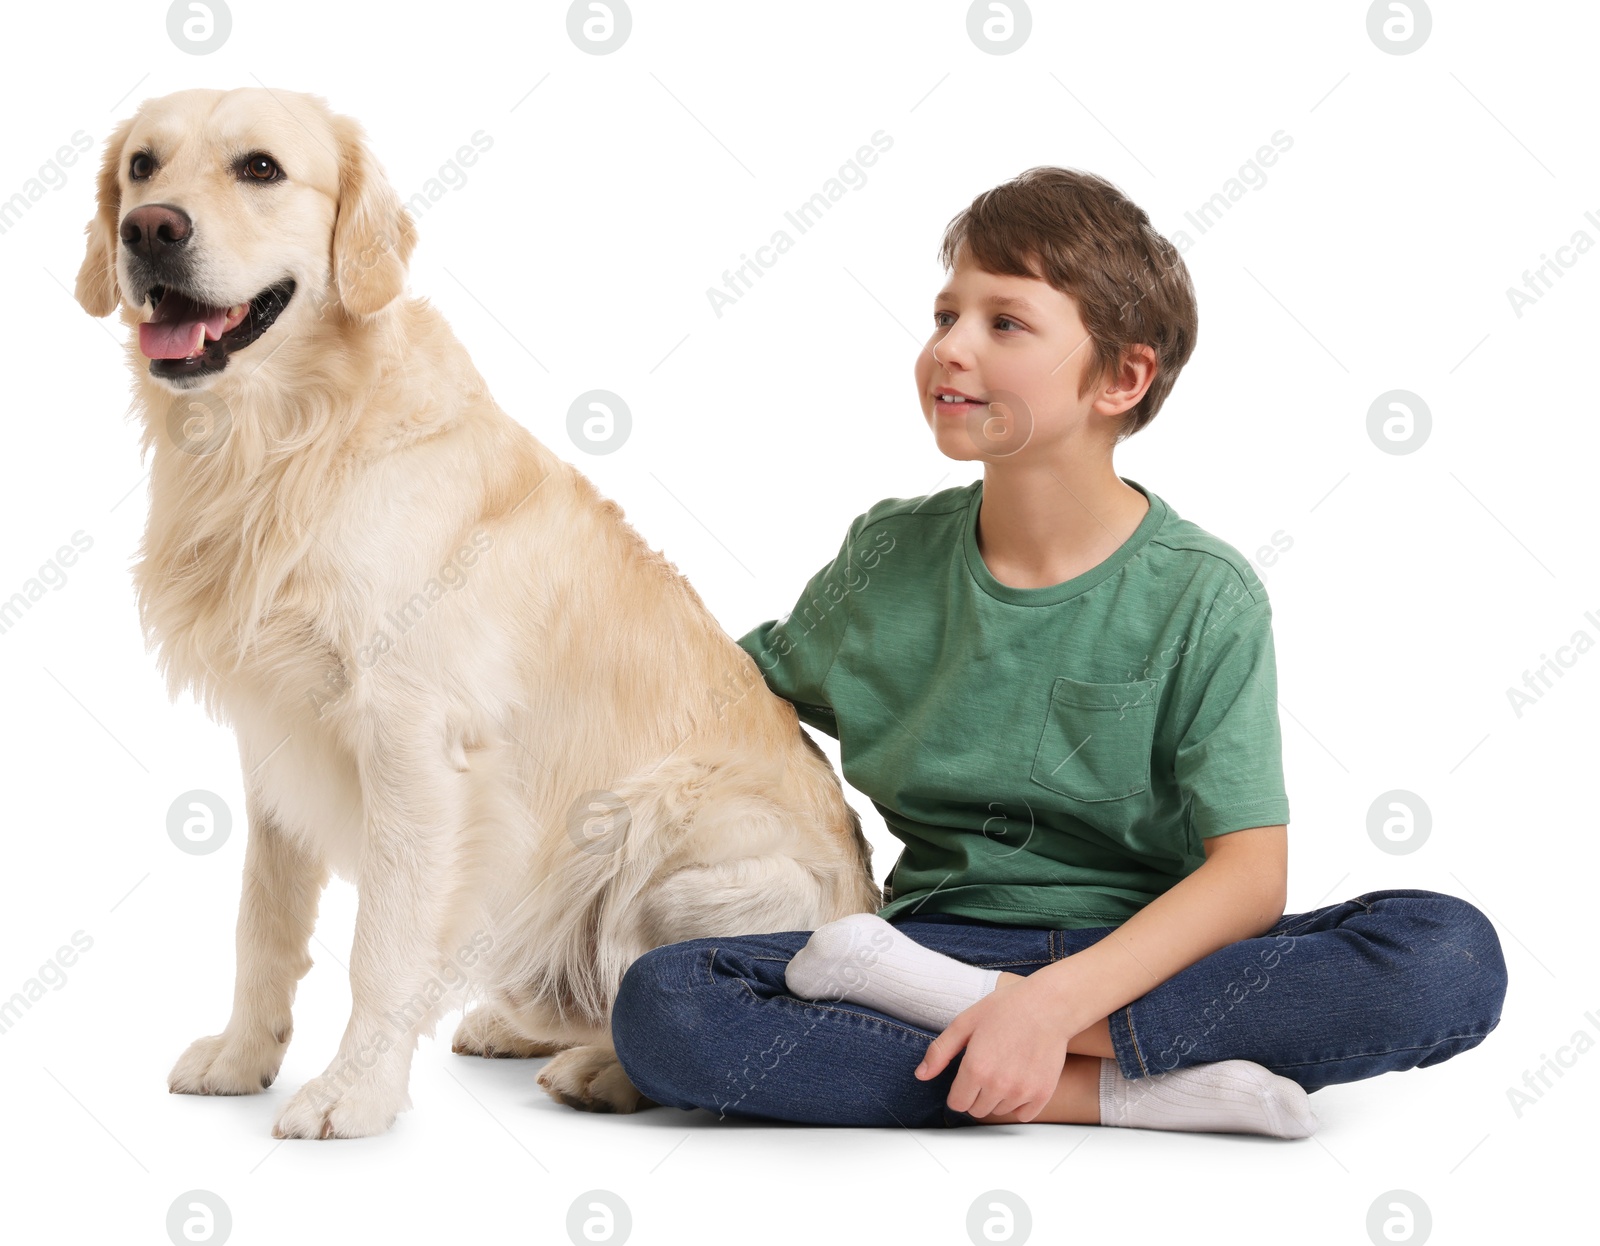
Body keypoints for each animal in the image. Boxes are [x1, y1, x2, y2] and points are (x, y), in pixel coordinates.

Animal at [72, 85, 876, 1138]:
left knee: (675, 1007)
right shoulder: (275, 736)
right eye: (142, 167)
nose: (150, 230)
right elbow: (263, 920)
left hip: (658, 825)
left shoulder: (412, 738)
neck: (291, 440)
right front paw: (245, 1055)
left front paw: (353, 1094)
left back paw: (601, 1071)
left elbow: (382, 946)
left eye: (260, 169)